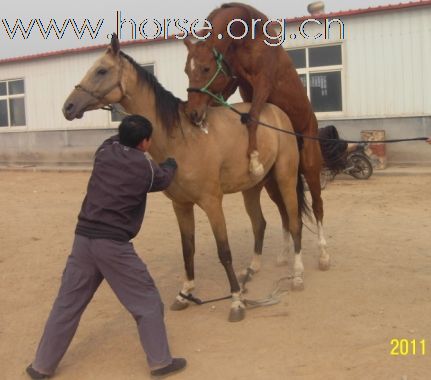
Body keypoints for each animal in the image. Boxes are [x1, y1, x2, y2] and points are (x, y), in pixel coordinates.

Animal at [63, 34, 308, 322]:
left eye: (101, 71)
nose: (68, 107)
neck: (182, 137)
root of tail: (277, 113)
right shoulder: (181, 206)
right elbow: (187, 249)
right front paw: (185, 293)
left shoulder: (212, 203)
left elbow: (224, 251)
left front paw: (236, 301)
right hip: (254, 187)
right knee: (261, 224)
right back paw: (251, 269)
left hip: (285, 179)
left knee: (294, 222)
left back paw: (298, 275)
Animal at [185, 2, 330, 270]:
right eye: (186, 70)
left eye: (206, 68)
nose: (193, 113)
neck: (248, 38)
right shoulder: (233, 81)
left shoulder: (263, 83)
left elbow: (251, 118)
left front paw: (253, 160)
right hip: (274, 183)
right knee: (286, 212)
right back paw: (284, 254)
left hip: (310, 166)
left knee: (317, 206)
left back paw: (324, 255)